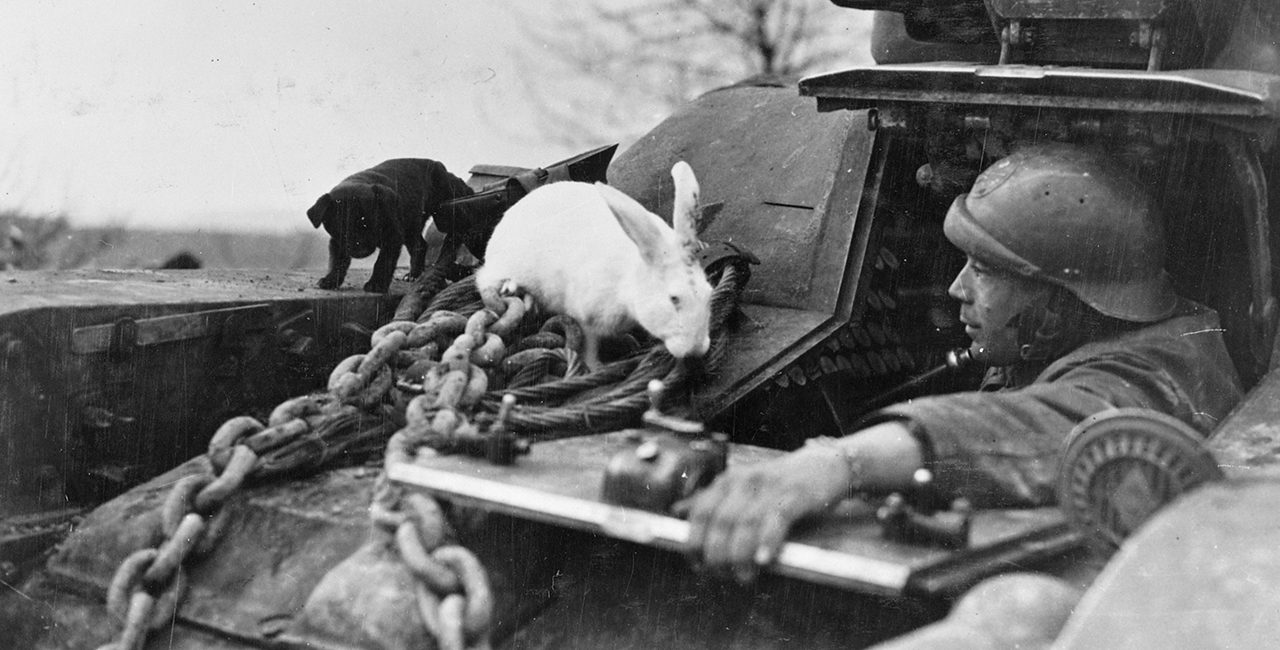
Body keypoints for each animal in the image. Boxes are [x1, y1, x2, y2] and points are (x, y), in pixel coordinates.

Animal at [307, 158, 473, 290]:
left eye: (372, 225)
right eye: (342, 227)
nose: (361, 250)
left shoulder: (392, 237)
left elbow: (382, 262)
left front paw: (376, 284)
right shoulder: (338, 241)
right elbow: (337, 261)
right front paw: (330, 280)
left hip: (447, 212)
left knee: (455, 235)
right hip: (410, 227)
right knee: (420, 246)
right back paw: (414, 275)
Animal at [473, 161, 711, 371]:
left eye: (709, 293)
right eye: (674, 298)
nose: (697, 349)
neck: (628, 282)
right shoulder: (586, 316)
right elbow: (589, 344)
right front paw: (595, 367)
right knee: (485, 280)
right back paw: (514, 290)